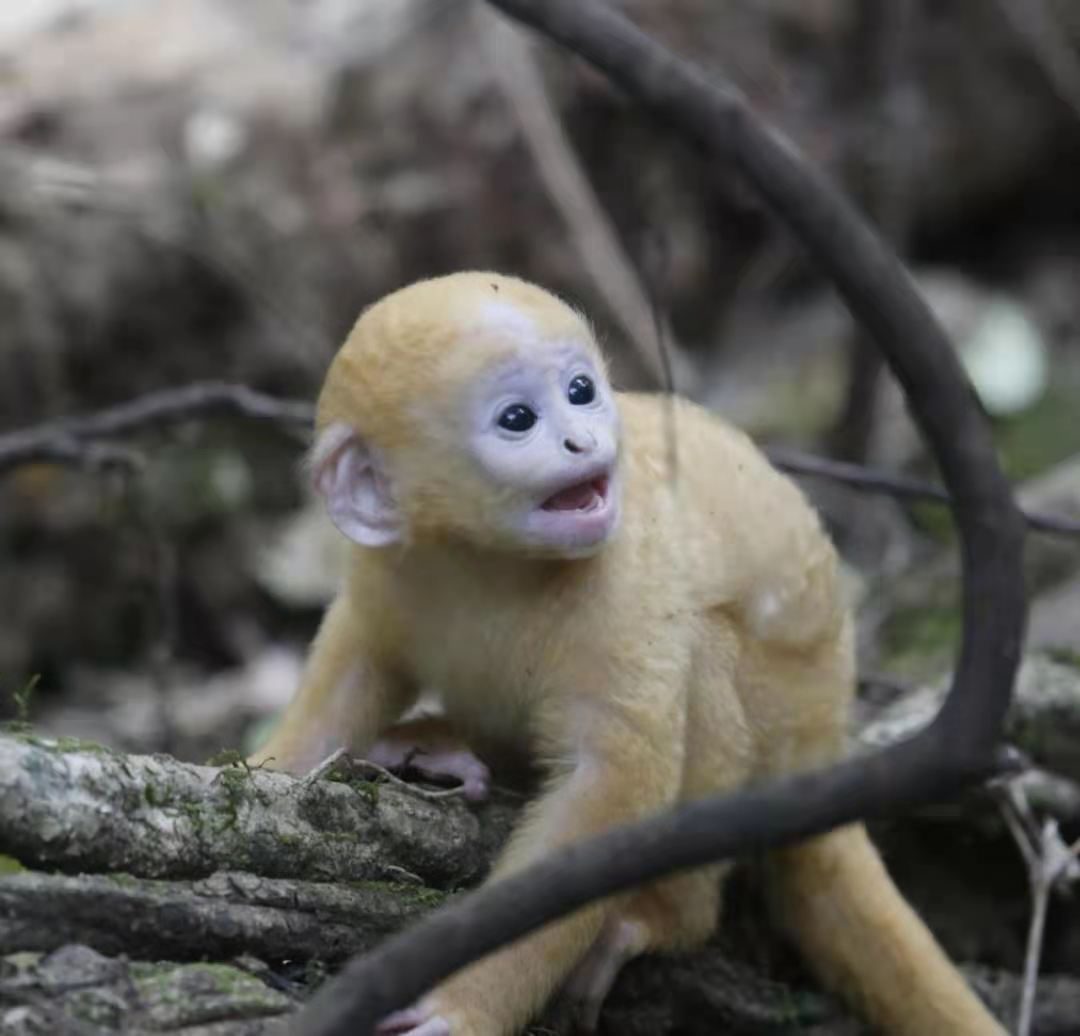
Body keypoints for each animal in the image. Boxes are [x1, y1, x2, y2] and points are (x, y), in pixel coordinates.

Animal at [250, 271, 1005, 1036]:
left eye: (581, 390)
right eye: (518, 418)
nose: (582, 440)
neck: (488, 564)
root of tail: (825, 741)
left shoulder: (619, 581)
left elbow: (610, 784)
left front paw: (463, 1008)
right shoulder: (389, 570)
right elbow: (353, 667)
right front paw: (266, 768)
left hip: (785, 713)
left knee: (702, 661)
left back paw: (664, 916)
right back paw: (433, 749)